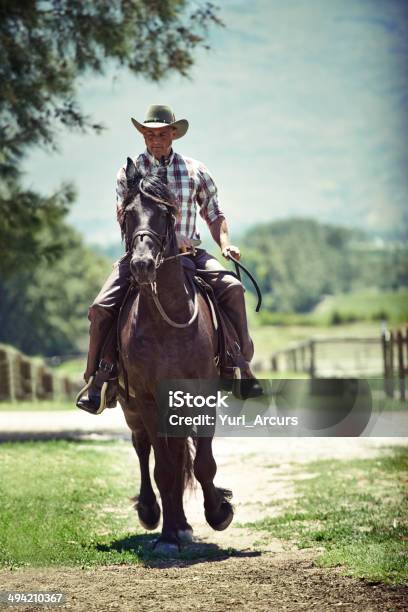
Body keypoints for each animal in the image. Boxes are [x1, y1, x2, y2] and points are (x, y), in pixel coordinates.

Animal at [118, 158, 233, 556]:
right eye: (127, 214)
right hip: (130, 407)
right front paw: (167, 537)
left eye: (165, 213)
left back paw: (183, 524)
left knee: (182, 452)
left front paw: (219, 511)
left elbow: (203, 464)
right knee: (143, 449)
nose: (141, 265)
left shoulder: (202, 394)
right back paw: (156, 515)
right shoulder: (147, 399)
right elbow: (164, 469)